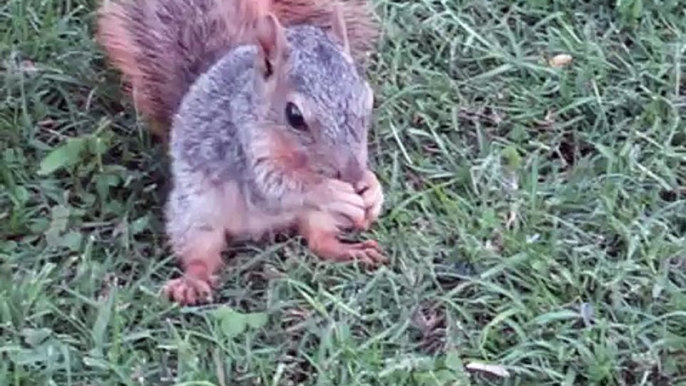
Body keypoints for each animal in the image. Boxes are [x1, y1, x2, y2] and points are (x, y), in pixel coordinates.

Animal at [96, 0, 388, 304]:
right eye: (294, 116)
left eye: (367, 99)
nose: (353, 175)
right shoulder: (239, 149)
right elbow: (273, 188)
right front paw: (333, 192)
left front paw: (372, 189)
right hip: (195, 213)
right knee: (200, 254)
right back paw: (193, 282)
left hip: (317, 216)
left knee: (320, 240)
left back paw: (350, 250)